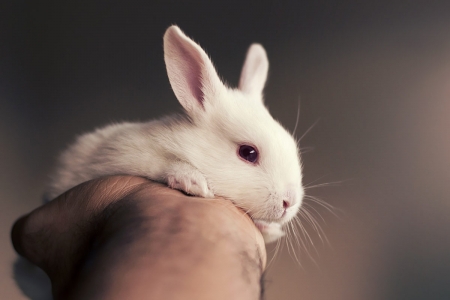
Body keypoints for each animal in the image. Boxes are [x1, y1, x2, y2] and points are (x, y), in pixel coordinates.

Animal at [45, 24, 304, 243]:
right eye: (248, 152)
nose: (289, 202)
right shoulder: (122, 153)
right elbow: (161, 162)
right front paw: (194, 181)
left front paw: (270, 229)